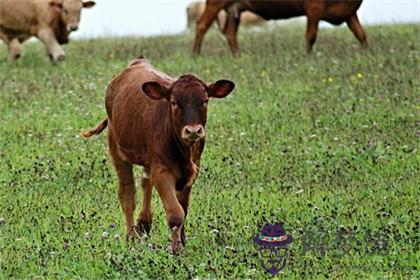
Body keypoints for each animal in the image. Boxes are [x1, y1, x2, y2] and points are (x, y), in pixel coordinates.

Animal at [83, 57, 235, 254]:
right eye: (174, 102)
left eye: (205, 100)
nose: (193, 131)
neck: (183, 152)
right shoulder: (163, 172)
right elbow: (176, 213)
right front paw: (176, 248)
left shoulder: (192, 171)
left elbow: (183, 208)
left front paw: (182, 239)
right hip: (117, 149)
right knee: (127, 193)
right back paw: (132, 236)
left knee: (145, 181)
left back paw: (144, 222)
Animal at [194, 0, 368, 55]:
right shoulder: (314, 7)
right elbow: (311, 35)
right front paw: (307, 57)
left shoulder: (350, 12)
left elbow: (361, 34)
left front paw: (366, 55)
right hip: (215, 3)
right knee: (201, 25)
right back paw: (196, 55)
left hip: (234, 9)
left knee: (230, 33)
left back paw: (238, 56)